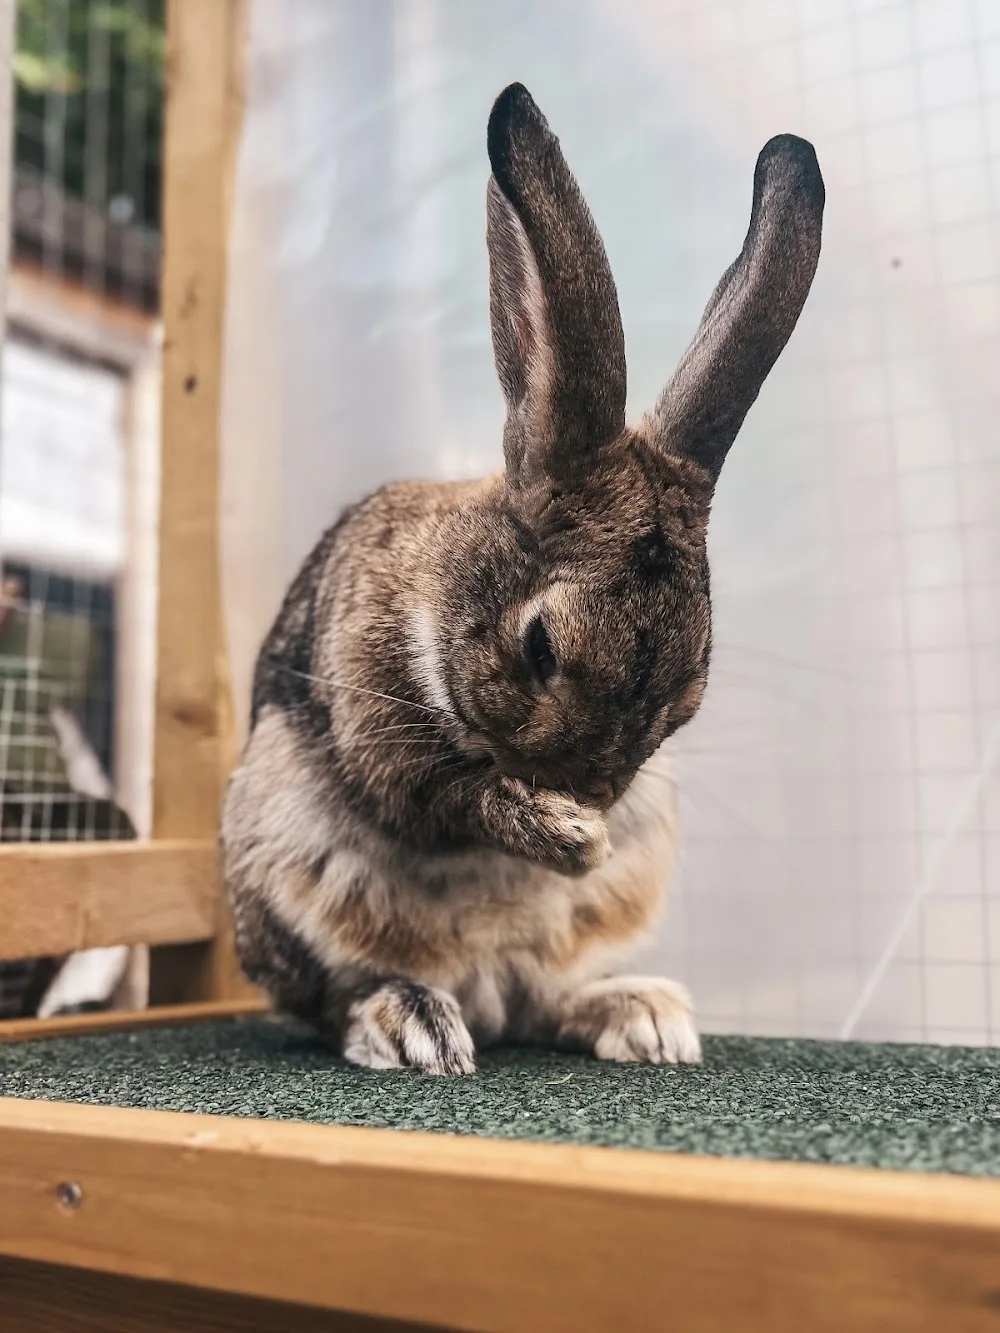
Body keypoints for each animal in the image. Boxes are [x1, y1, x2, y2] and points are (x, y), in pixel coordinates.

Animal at [221, 83, 824, 1074]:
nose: (593, 793)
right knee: (334, 994)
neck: (443, 589)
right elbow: (443, 796)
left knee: (548, 999)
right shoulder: (378, 726)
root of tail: (485, 993)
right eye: (540, 645)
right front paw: (568, 837)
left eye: (691, 690)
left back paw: (647, 1018)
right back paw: (414, 1023)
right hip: (275, 850)